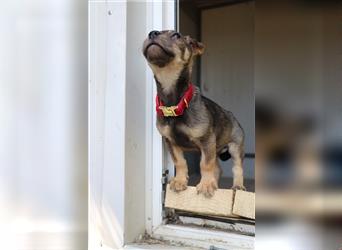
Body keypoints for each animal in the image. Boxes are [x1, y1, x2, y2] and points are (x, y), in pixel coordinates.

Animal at [142, 30, 246, 196]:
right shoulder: (171, 142)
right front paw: (180, 181)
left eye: (176, 35)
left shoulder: (206, 140)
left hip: (235, 146)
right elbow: (180, 162)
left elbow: (205, 164)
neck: (174, 102)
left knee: (237, 168)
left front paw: (206, 184)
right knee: (218, 168)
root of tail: (231, 115)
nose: (152, 33)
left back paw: (238, 186)